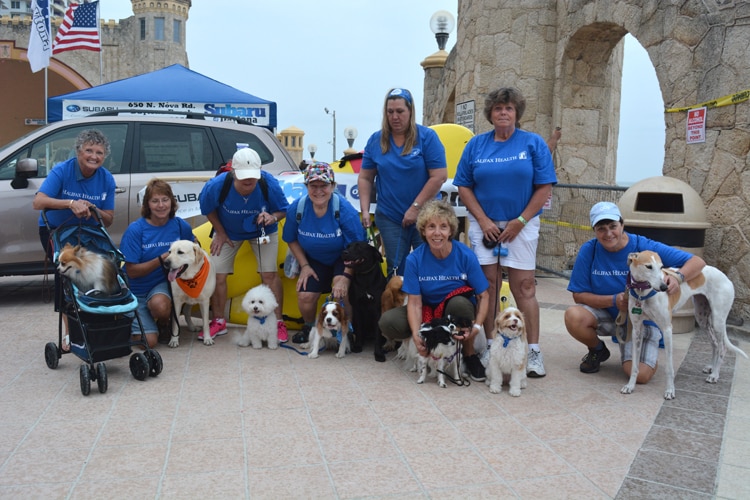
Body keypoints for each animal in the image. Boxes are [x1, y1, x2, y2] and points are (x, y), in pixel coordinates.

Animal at [623, 250, 748, 399]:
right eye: (648, 266)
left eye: (661, 267)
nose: (664, 287)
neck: (643, 293)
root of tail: (727, 278)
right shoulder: (636, 329)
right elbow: (635, 365)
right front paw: (630, 386)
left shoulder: (667, 329)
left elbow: (669, 368)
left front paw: (670, 390)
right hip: (702, 318)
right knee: (715, 344)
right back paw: (711, 367)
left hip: (718, 320)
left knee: (722, 347)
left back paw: (715, 375)